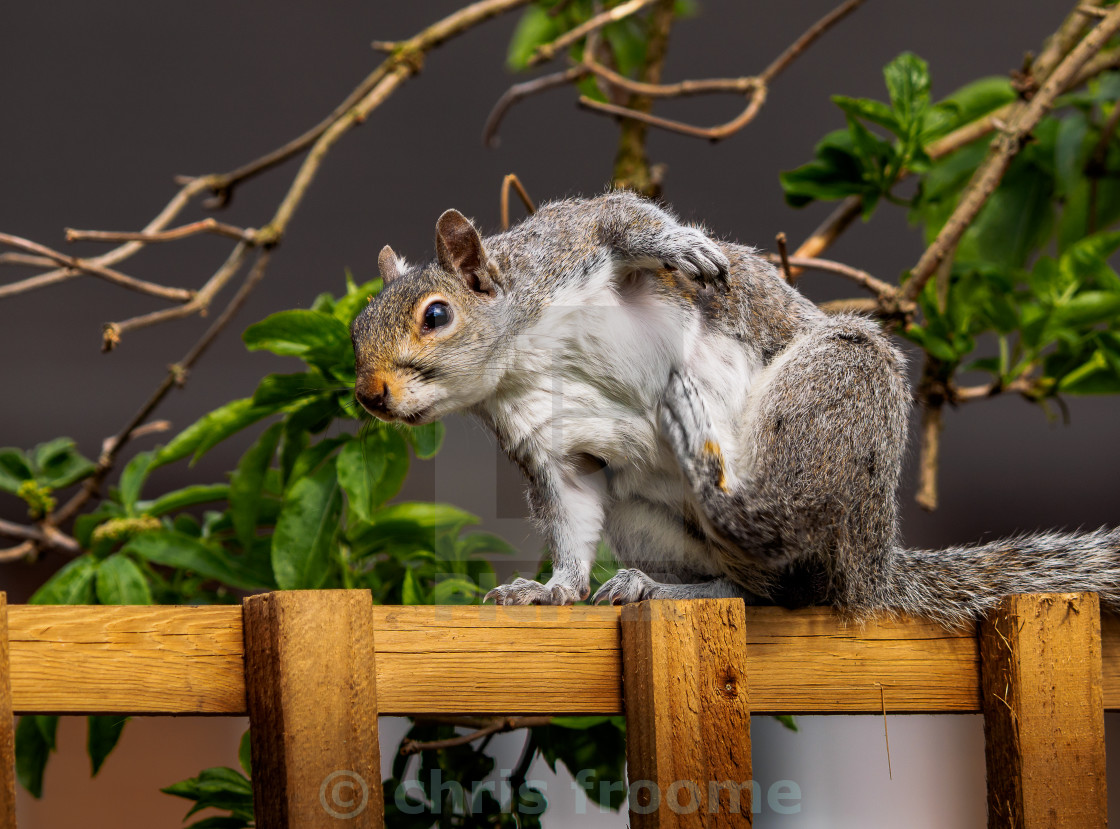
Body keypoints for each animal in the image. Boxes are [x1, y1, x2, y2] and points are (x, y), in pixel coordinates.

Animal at [351, 189, 1120, 627]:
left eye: (436, 315)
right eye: (357, 331)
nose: (369, 394)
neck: (521, 356)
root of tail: (873, 567)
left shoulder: (566, 245)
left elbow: (622, 217)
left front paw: (681, 244)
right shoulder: (550, 446)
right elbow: (572, 517)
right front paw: (550, 589)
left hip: (835, 390)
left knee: (779, 535)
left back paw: (705, 460)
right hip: (650, 522)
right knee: (764, 590)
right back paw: (658, 588)